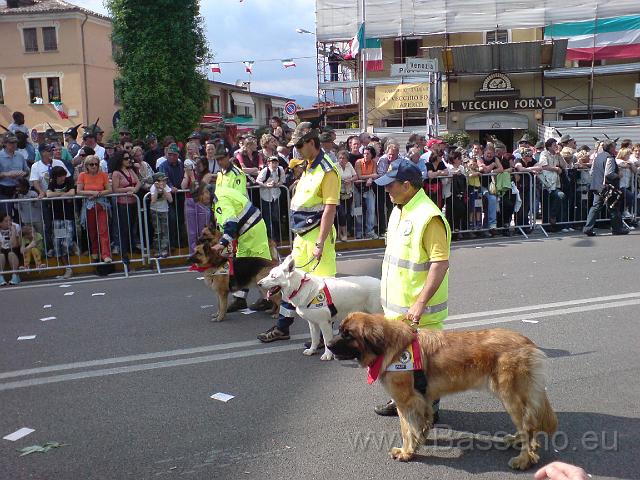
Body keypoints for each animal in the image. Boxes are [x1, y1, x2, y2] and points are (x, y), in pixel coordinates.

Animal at [328, 312, 556, 468]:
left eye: (348, 335)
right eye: (340, 330)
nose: (328, 345)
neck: (391, 347)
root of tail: (528, 343)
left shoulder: (406, 401)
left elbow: (406, 429)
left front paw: (406, 452)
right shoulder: (423, 400)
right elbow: (420, 425)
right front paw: (420, 441)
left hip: (510, 396)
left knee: (528, 427)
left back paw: (524, 459)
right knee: (528, 425)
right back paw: (516, 441)